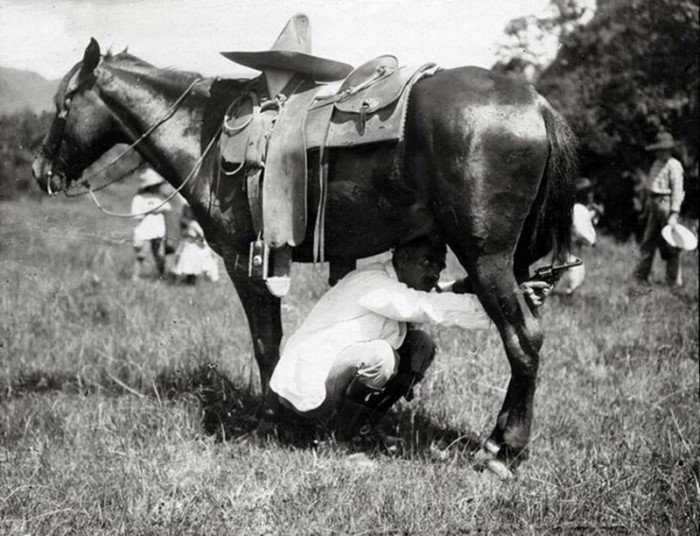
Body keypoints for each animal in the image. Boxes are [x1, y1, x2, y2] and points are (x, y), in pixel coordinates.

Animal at [32, 39, 576, 476]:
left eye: (63, 105)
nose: (40, 170)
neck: (207, 135)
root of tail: (535, 102)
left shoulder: (243, 259)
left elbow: (266, 344)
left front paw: (270, 419)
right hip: (508, 264)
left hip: (487, 260)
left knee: (524, 340)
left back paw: (504, 449)